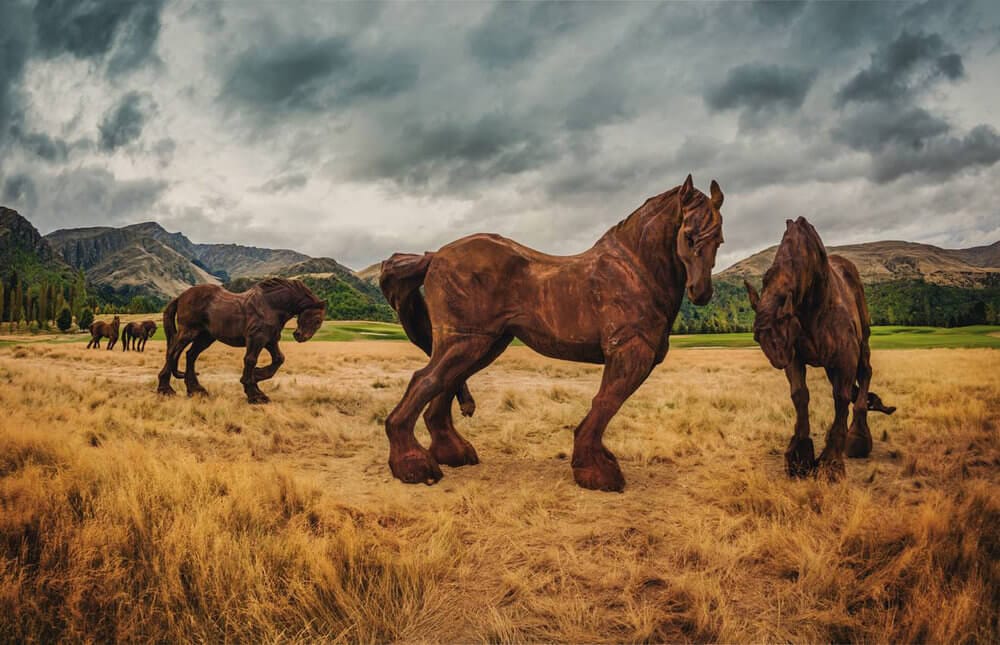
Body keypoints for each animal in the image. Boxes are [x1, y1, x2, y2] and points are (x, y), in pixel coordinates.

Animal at [156, 278, 325, 403]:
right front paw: (254, 393)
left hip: (205, 337)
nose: (300, 336)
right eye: (317, 320)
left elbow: (279, 359)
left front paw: (256, 377)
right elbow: (250, 360)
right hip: (188, 332)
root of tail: (181, 297)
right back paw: (165, 389)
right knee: (173, 353)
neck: (271, 305)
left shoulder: (270, 340)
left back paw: (196, 390)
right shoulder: (256, 338)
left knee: (190, 355)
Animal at [379, 175, 725, 491]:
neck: (635, 271)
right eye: (689, 236)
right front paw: (596, 471)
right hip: (467, 341)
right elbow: (605, 403)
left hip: (483, 343)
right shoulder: (630, 351)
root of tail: (434, 256)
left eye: (719, 240)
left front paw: (598, 461)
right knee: (425, 381)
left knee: (442, 389)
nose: (701, 292)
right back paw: (414, 466)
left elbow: (605, 405)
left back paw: (453, 454)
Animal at [744, 217, 896, 481]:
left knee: (865, 373)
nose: (776, 357)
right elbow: (800, 395)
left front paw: (831, 462)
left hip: (862, 342)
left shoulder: (844, 358)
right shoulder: (796, 358)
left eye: (784, 324)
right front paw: (800, 455)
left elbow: (841, 398)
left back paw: (858, 436)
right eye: (757, 336)